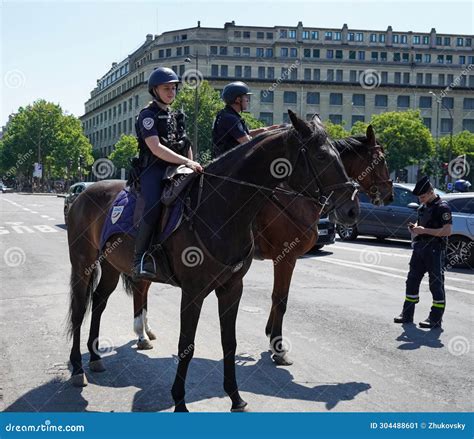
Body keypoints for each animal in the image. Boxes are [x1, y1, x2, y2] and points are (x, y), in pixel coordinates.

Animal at [66, 111, 360, 412]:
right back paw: (79, 368)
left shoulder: (232, 288)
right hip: (82, 263)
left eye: (338, 154)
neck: (221, 207)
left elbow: (229, 342)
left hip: (112, 266)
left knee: (99, 303)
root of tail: (81, 193)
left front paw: (235, 397)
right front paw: (180, 402)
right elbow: (187, 345)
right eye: (321, 156)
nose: (351, 209)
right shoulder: (194, 292)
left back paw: (96, 356)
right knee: (80, 309)